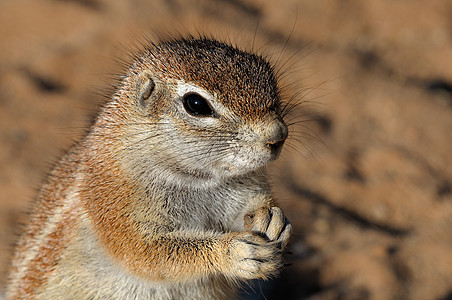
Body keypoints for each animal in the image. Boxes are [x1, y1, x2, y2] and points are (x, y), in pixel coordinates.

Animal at [7, 36, 294, 298]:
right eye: (196, 104)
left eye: (269, 76)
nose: (278, 136)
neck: (200, 181)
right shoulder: (114, 205)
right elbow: (147, 253)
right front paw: (233, 252)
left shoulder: (246, 186)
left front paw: (271, 219)